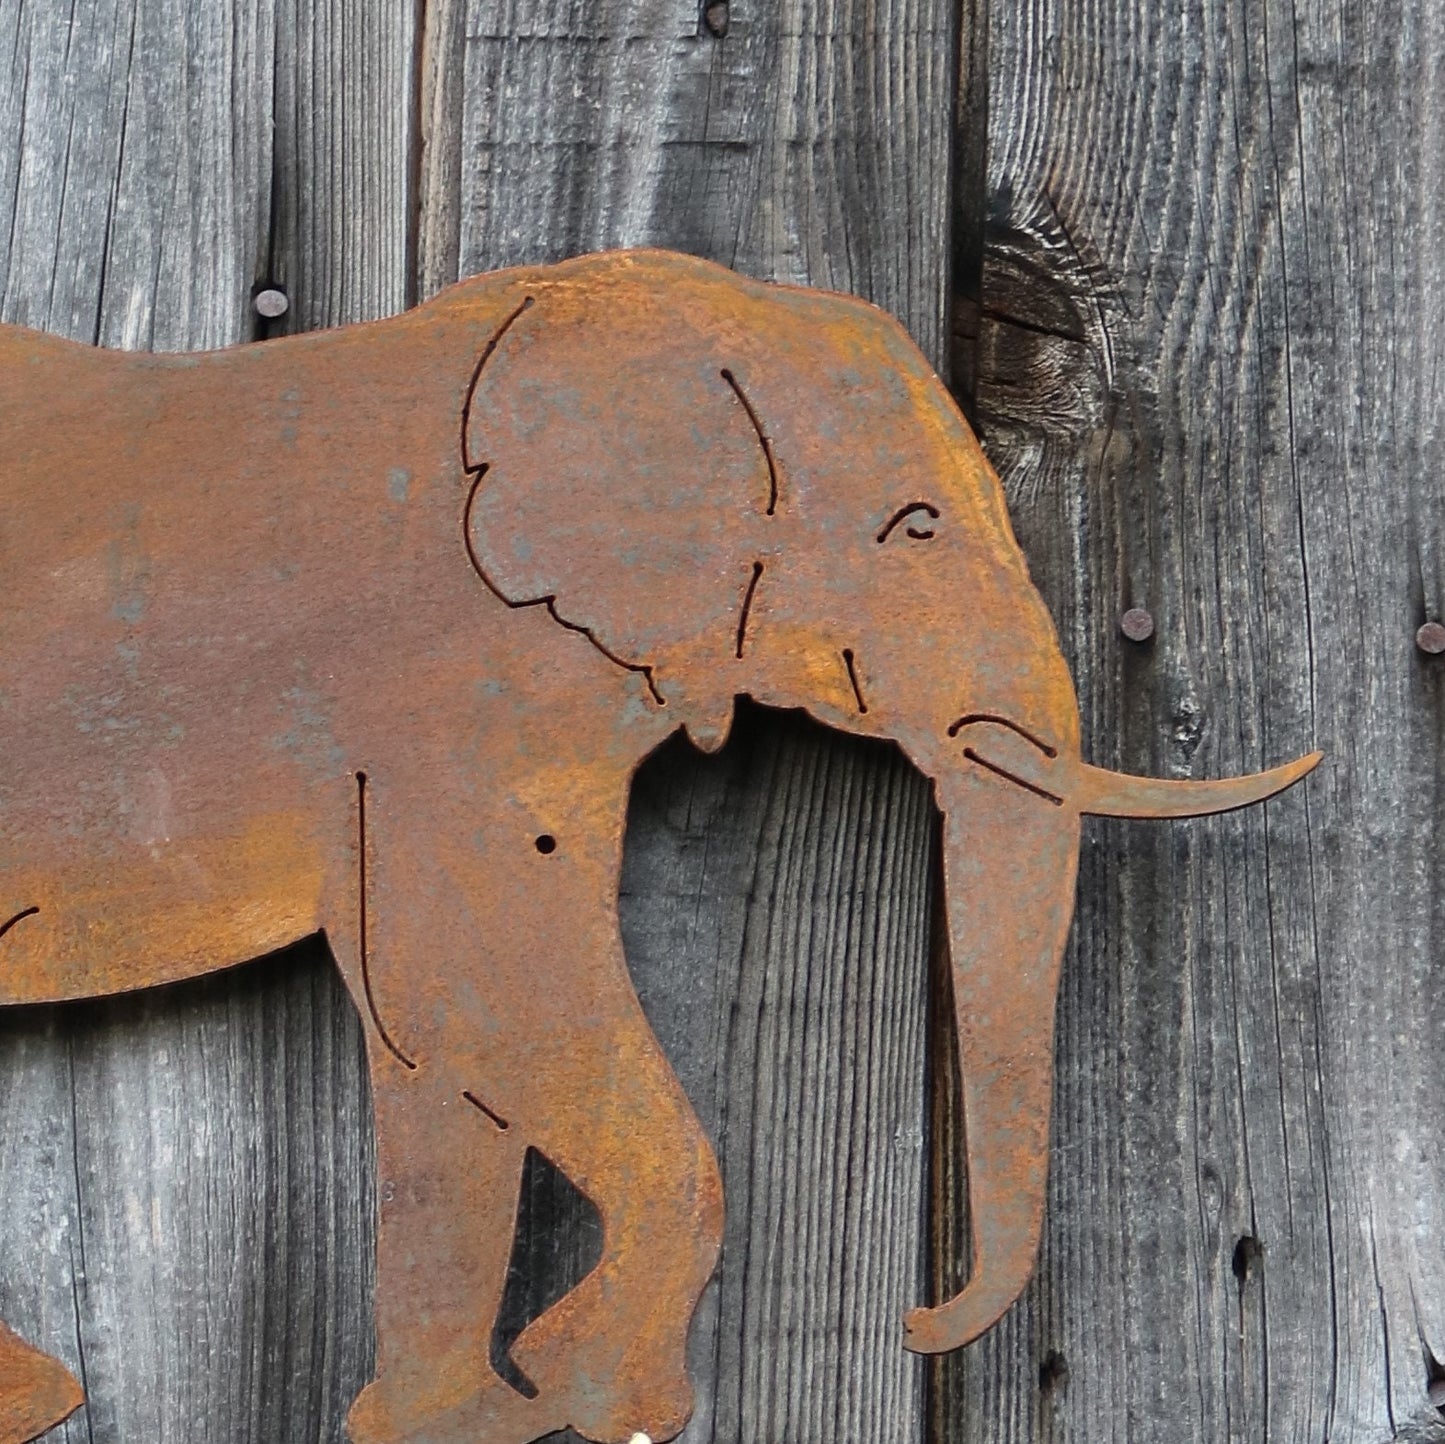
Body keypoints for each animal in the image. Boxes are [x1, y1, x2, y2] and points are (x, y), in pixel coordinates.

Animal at [0, 249, 1319, 1444]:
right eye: (914, 525)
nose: (911, 1325)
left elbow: (431, 1034)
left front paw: (468, 1420)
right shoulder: (451, 684)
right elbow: (479, 987)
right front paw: (589, 1392)